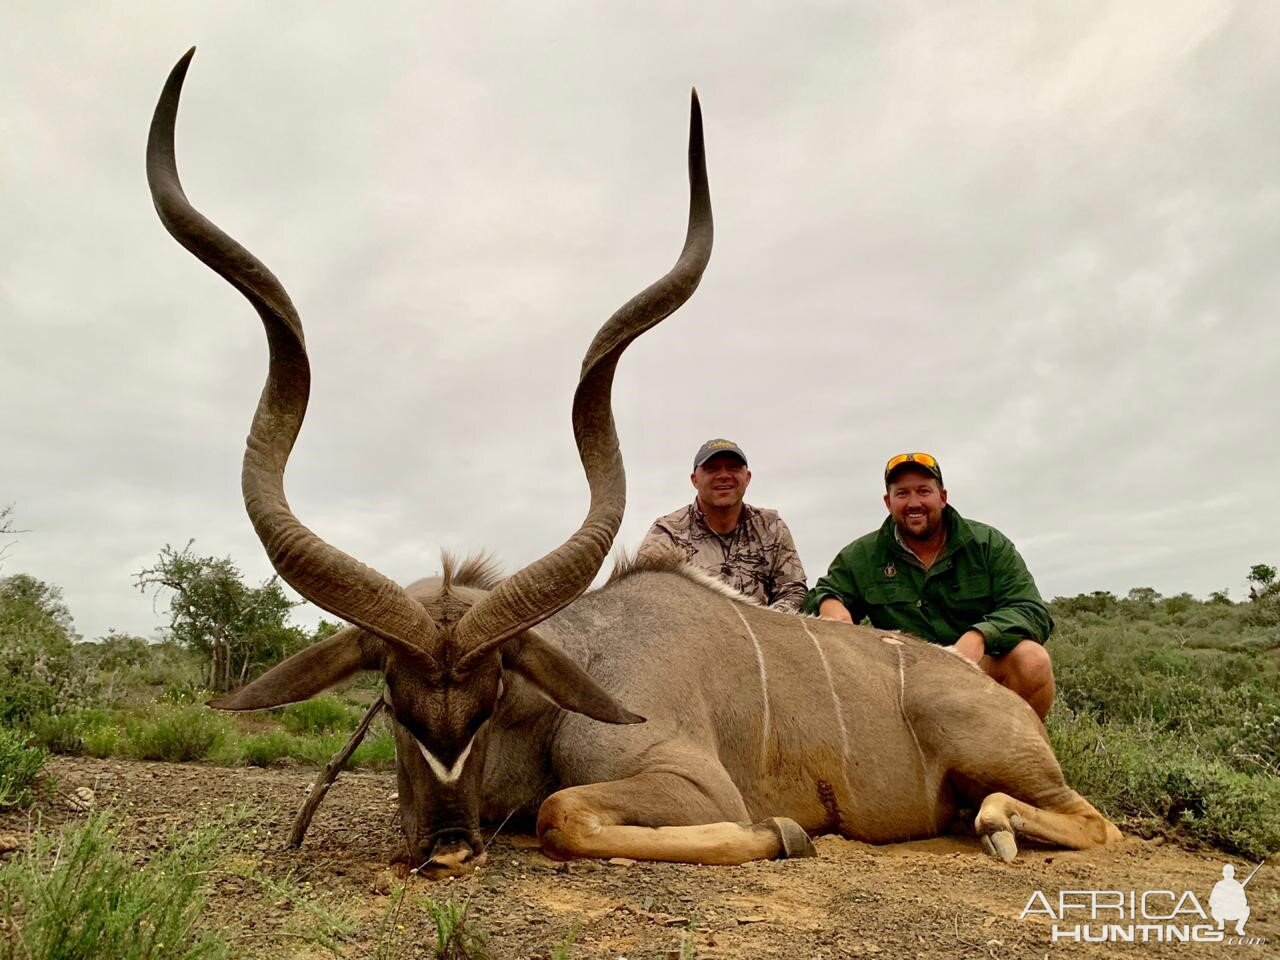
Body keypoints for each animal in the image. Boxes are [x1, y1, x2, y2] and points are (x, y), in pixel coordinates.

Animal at [145, 50, 1116, 880]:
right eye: (390, 696)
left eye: (492, 698)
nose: (449, 847)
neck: (563, 690)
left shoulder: (691, 779)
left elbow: (563, 814)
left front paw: (788, 830)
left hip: (1001, 756)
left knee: (1089, 819)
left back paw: (996, 825)